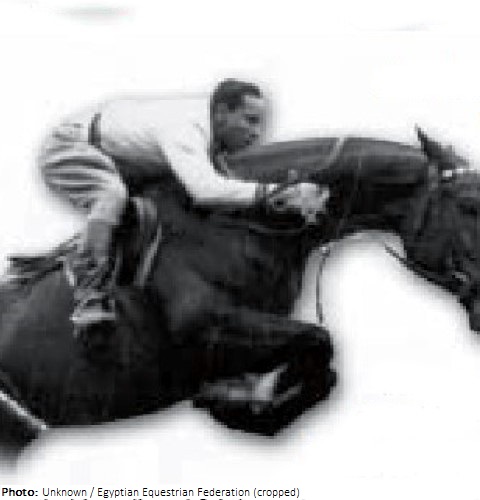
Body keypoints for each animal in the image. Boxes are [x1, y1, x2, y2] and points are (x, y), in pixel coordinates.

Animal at [0, 130, 476, 455]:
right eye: (471, 205)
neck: (245, 221)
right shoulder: (207, 328)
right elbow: (320, 340)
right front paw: (239, 403)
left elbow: (321, 367)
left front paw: (245, 399)